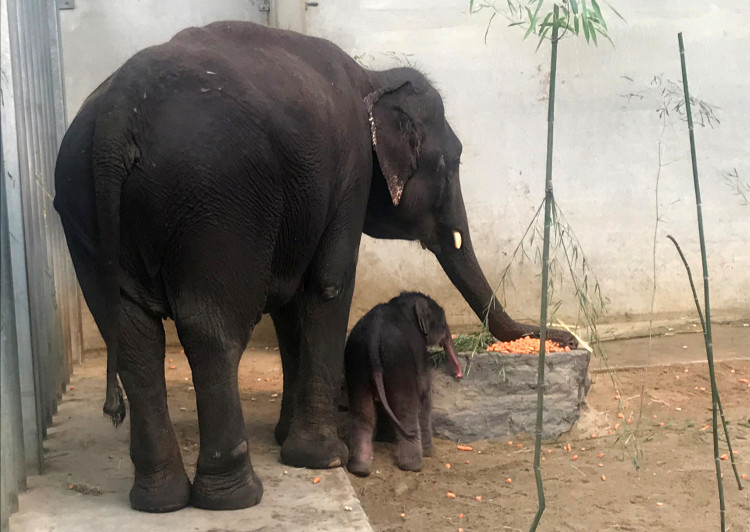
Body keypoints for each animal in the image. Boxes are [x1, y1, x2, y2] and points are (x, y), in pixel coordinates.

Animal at [345, 292, 462, 477]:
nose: (458, 374)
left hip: (356, 363)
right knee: (405, 410)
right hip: (397, 363)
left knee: (363, 415)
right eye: (443, 322)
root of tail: (373, 338)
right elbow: (424, 394)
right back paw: (413, 465)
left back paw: (359, 469)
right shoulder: (420, 355)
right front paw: (429, 453)